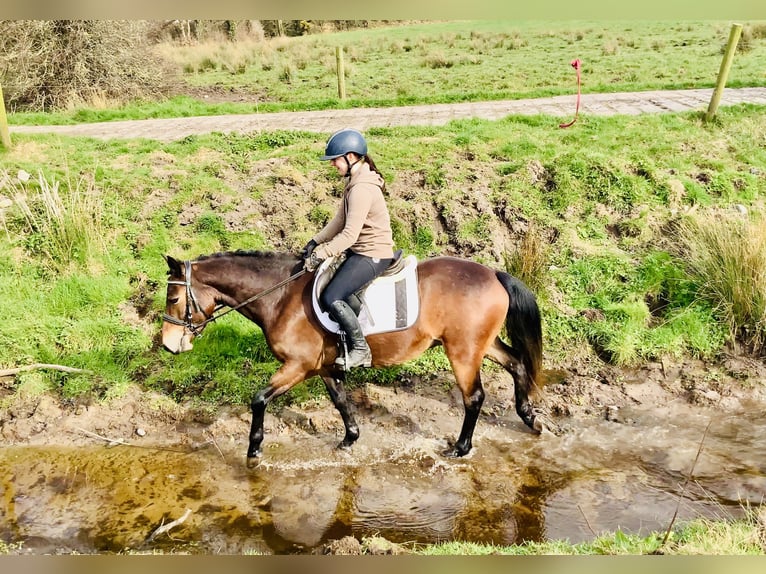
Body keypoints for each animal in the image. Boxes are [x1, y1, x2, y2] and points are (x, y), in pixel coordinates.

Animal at [162, 252, 544, 468]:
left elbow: (258, 399)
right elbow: (341, 401)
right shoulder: (324, 367)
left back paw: (461, 448)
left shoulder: (297, 367)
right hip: (482, 344)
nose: (168, 346)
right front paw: (350, 438)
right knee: (516, 364)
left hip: (462, 350)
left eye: (173, 298)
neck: (281, 297)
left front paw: (254, 450)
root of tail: (493, 273)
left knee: (474, 396)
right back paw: (529, 418)